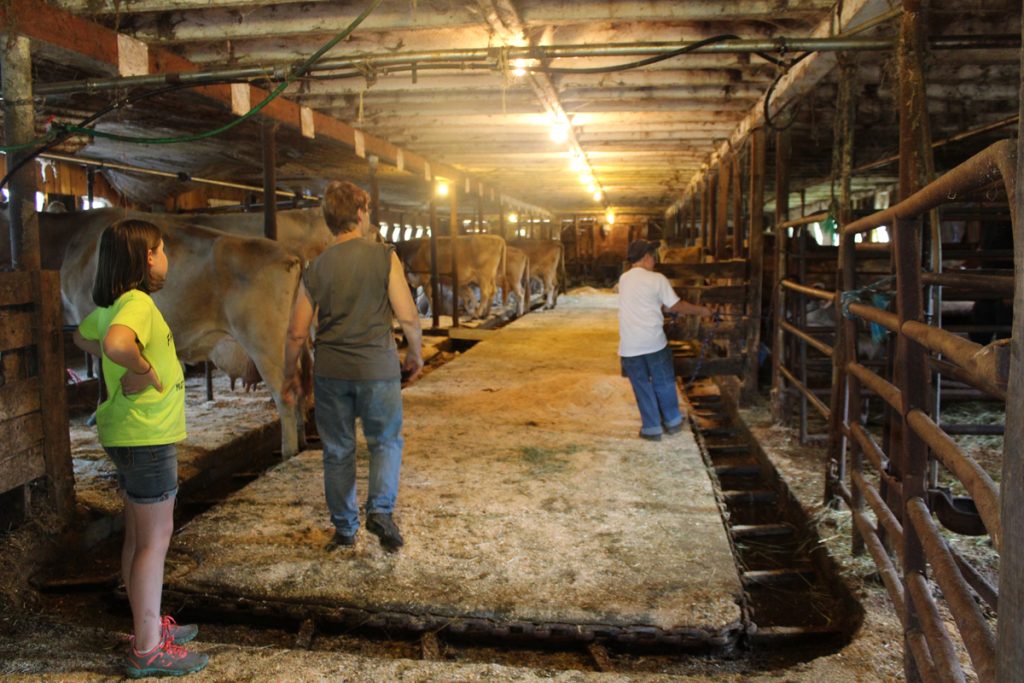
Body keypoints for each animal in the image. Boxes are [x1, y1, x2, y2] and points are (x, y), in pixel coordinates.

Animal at [54, 210, 305, 458]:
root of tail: (290, 256)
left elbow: (103, 375)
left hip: (264, 342)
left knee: (285, 395)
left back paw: (288, 452)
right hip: (292, 342)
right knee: (302, 388)